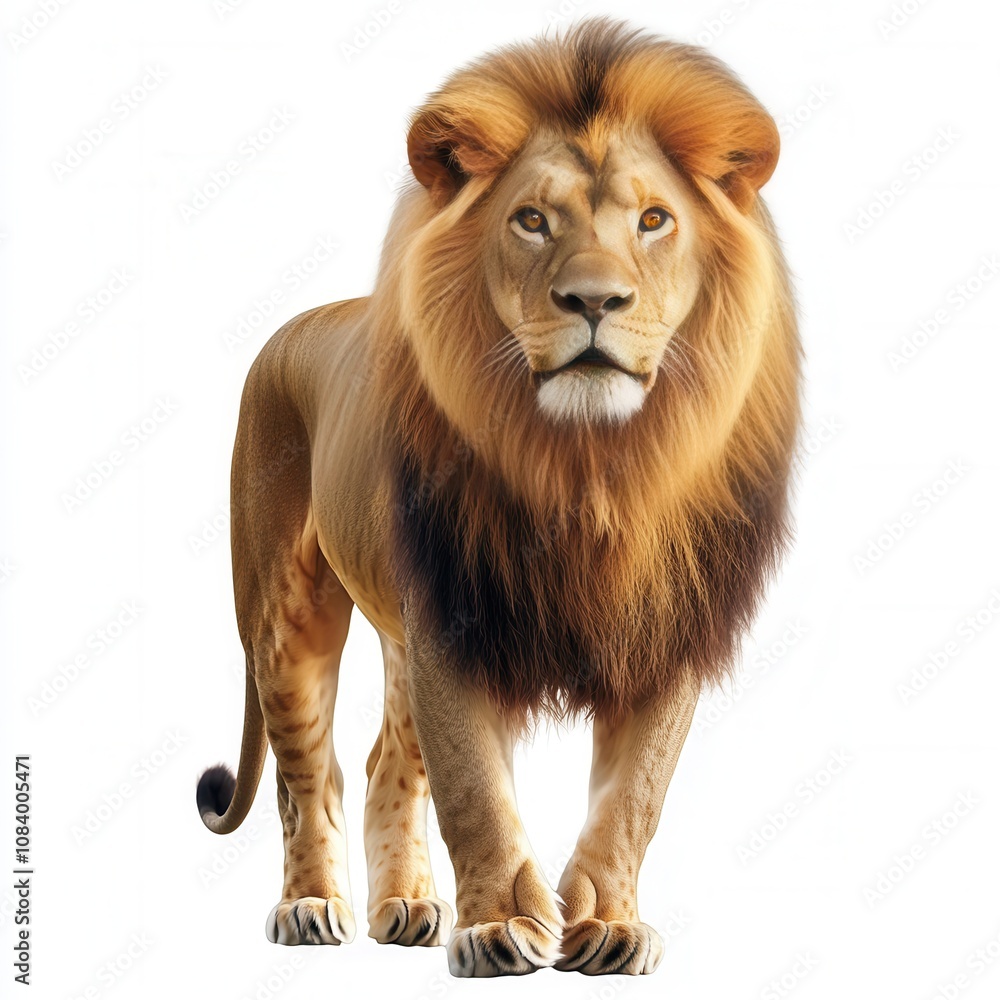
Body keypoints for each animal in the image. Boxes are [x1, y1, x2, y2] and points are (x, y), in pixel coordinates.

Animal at [195, 17, 800, 978]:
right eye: (531, 220)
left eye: (654, 220)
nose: (594, 300)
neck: (590, 469)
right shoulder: (454, 624)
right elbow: (474, 788)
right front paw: (499, 926)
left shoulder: (663, 626)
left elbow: (634, 797)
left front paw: (610, 925)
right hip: (286, 614)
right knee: (309, 776)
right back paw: (310, 907)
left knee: (384, 763)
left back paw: (406, 907)